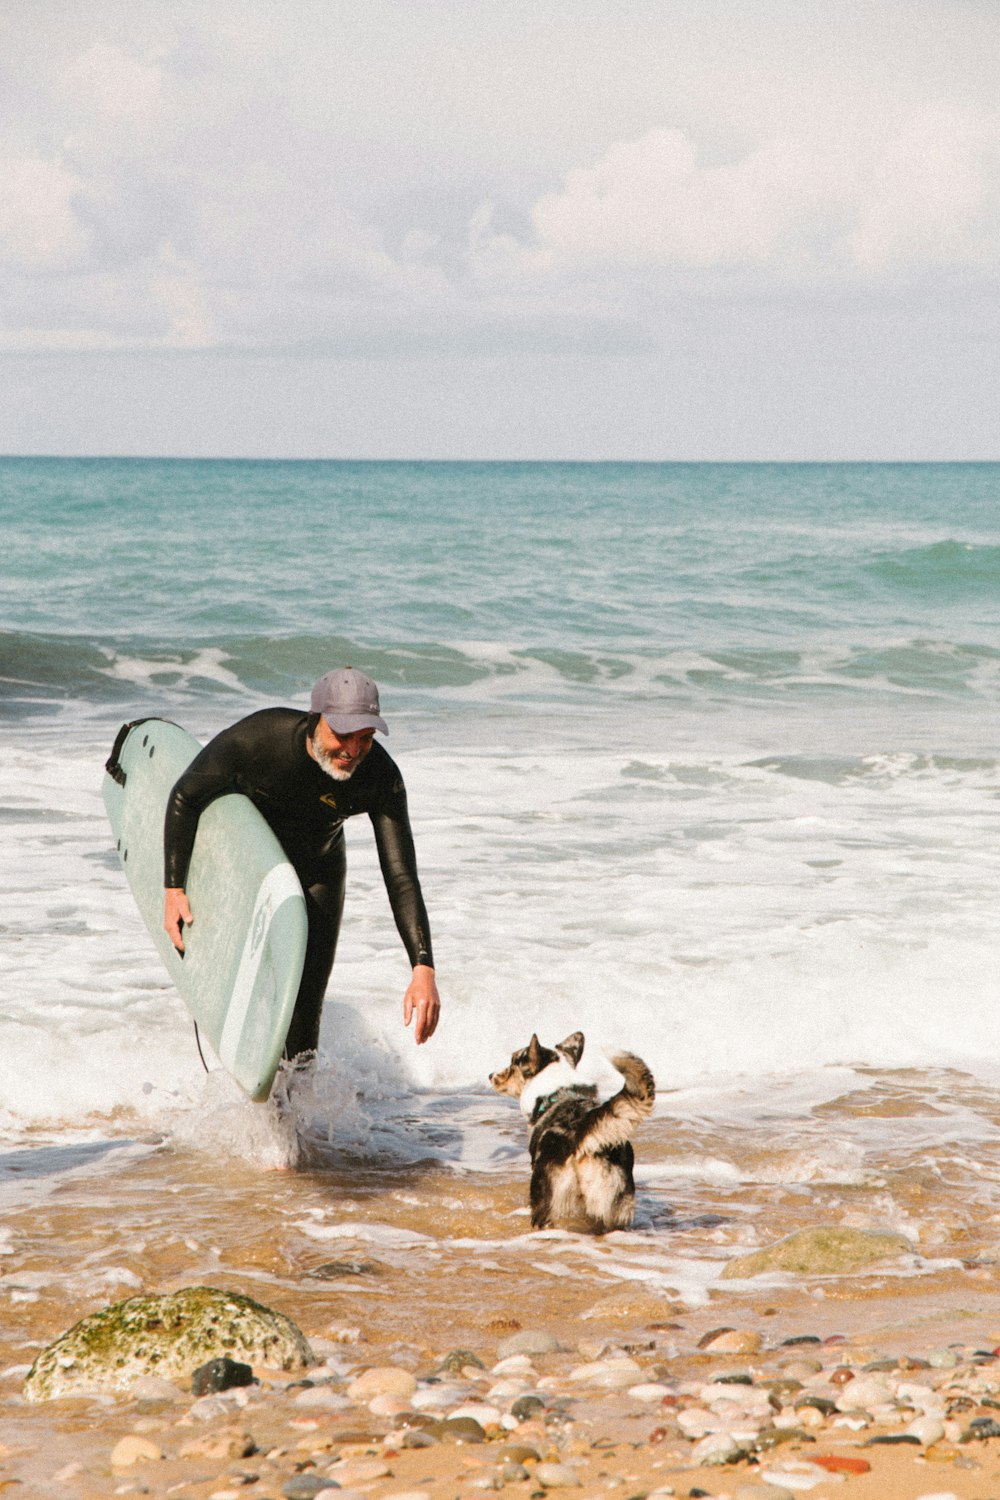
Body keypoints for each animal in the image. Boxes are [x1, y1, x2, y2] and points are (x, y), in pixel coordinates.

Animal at [491, 1032, 656, 1230]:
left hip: (550, 1200)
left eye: (513, 1062)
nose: (490, 1075)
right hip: (616, 1205)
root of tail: (582, 1129)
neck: (557, 1092)